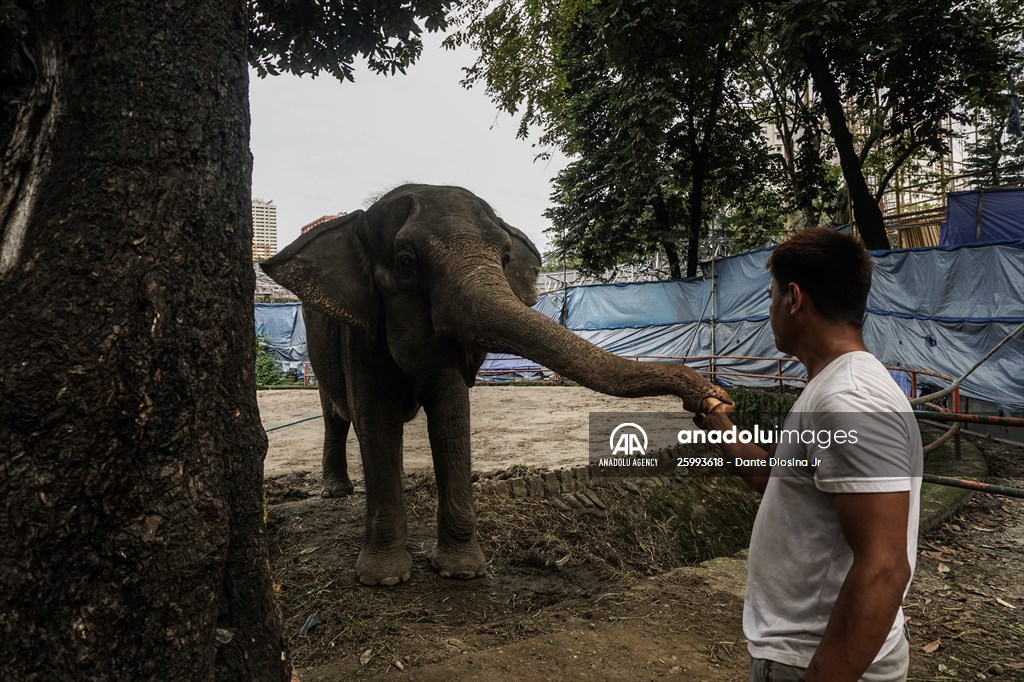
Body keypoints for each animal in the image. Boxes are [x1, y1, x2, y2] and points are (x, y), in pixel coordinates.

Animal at [264, 182, 729, 585]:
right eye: (406, 262)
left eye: (505, 257)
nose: (713, 402)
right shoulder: (360, 336)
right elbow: (377, 424)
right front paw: (383, 580)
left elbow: (452, 420)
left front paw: (463, 572)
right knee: (337, 417)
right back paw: (336, 492)